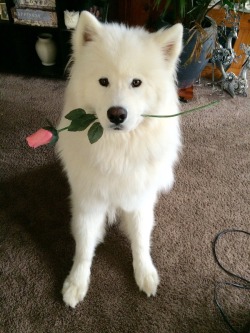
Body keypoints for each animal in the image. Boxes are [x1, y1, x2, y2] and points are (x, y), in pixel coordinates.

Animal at [57, 11, 183, 306]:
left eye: (136, 83)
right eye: (103, 81)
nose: (116, 114)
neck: (117, 148)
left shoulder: (139, 200)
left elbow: (140, 240)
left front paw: (145, 273)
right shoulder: (88, 201)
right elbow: (83, 246)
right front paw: (76, 282)